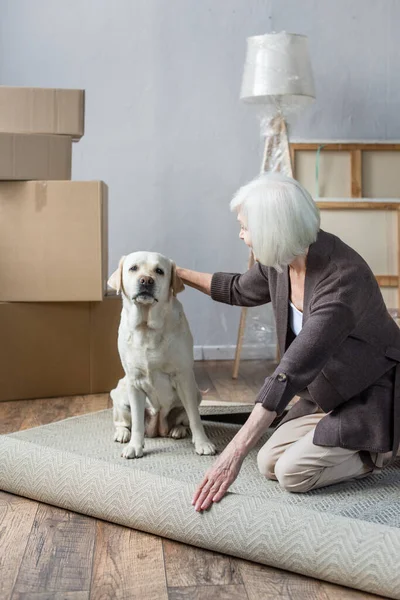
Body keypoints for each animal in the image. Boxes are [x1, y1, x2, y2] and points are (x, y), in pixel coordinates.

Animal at [108, 251, 217, 458]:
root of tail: (158, 428)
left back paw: (178, 430)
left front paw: (203, 443)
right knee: (123, 421)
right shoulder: (134, 382)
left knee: (185, 418)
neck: (147, 328)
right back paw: (122, 433)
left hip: (196, 393)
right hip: (120, 393)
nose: (146, 280)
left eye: (159, 271)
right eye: (133, 268)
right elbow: (137, 423)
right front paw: (135, 446)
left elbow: (195, 418)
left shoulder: (184, 376)